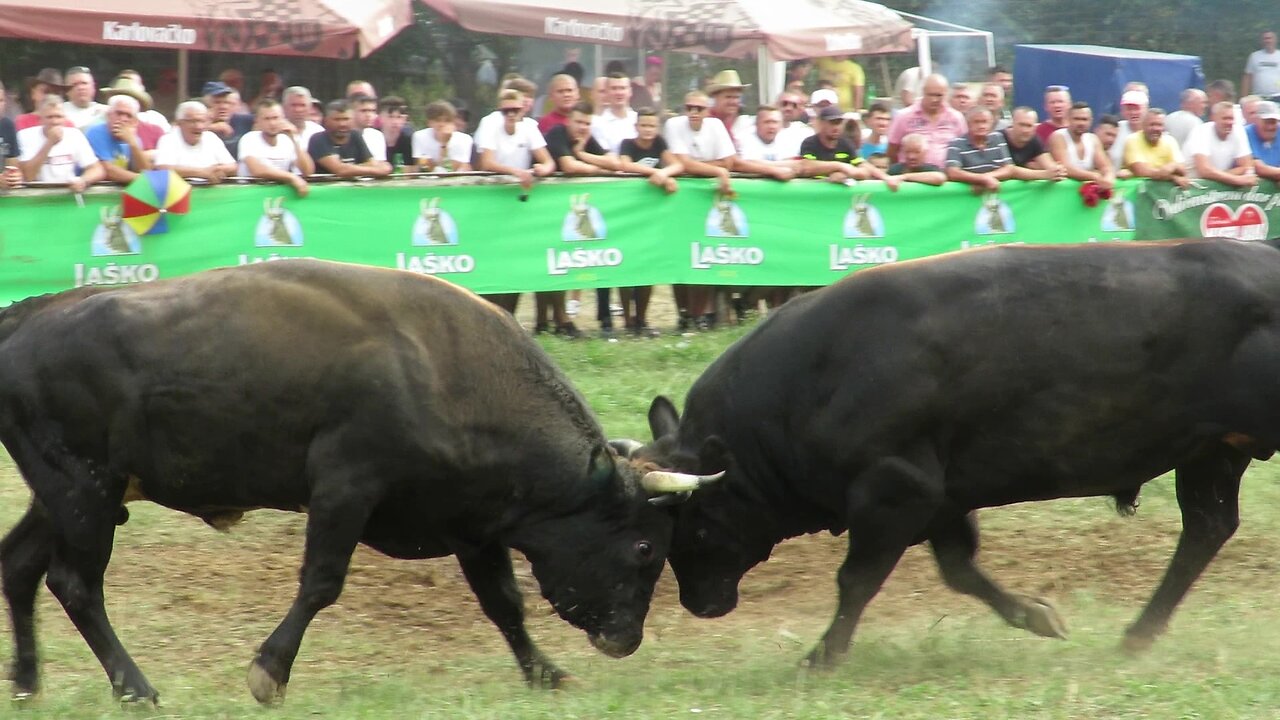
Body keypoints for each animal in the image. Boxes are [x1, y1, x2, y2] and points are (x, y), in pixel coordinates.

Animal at [0, 258, 711, 702]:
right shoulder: (345, 488)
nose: (625, 639)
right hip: (84, 492)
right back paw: (136, 687)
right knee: (74, 584)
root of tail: (28, 316)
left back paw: (29, 681)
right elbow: (321, 582)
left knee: (19, 566)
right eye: (646, 548)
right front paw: (269, 671)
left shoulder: (471, 523)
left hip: (68, 496)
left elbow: (504, 602)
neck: (447, 370)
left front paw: (544, 674)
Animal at [629, 238, 1280, 666]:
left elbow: (856, 580)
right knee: (1206, 529)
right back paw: (1138, 634)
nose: (697, 603)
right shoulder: (938, 498)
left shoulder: (895, 489)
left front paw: (823, 655)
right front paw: (1035, 615)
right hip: (1211, 452)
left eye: (693, 526)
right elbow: (960, 570)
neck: (815, 380)